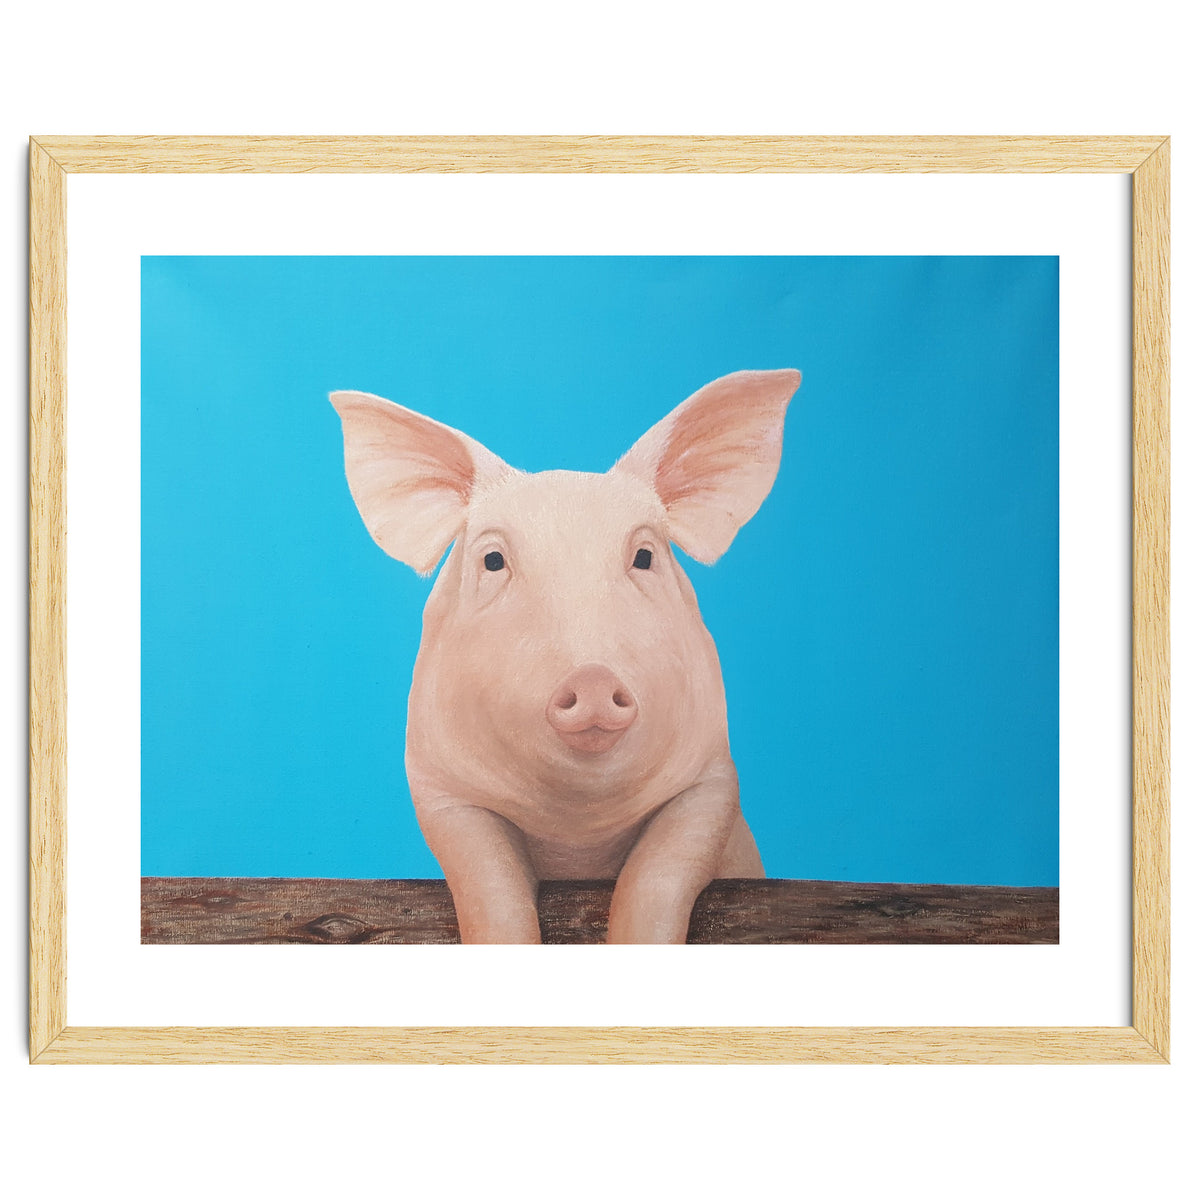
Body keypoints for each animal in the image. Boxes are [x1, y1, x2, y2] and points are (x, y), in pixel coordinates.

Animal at [331, 368, 801, 943]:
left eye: (644, 556)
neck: (578, 830)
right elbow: (489, 885)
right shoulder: (440, 789)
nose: (593, 678)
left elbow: (658, 875)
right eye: (493, 560)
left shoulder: (712, 780)